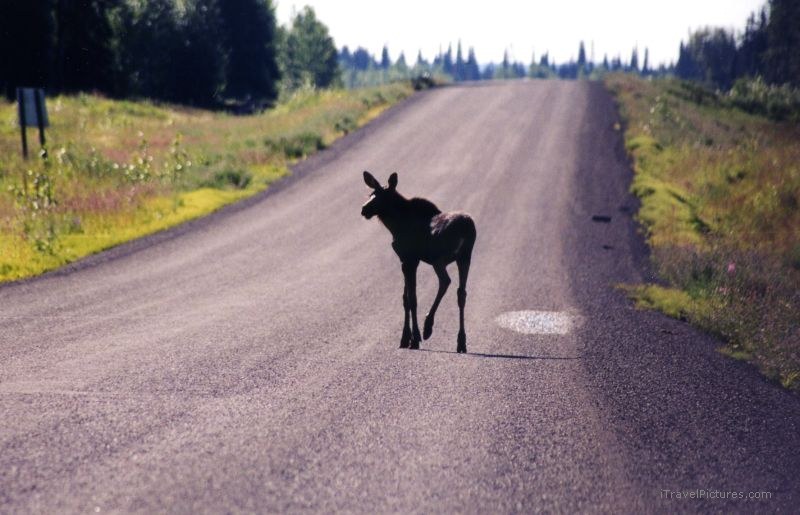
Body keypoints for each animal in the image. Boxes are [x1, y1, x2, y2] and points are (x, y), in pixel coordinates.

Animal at [361, 171, 476, 353]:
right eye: (371, 194)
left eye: (382, 196)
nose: (364, 209)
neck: (395, 225)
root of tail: (467, 229)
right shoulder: (408, 261)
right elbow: (405, 298)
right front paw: (406, 338)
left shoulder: (408, 259)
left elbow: (412, 298)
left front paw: (413, 339)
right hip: (465, 257)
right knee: (461, 293)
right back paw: (461, 341)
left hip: (439, 259)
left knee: (445, 281)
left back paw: (427, 327)